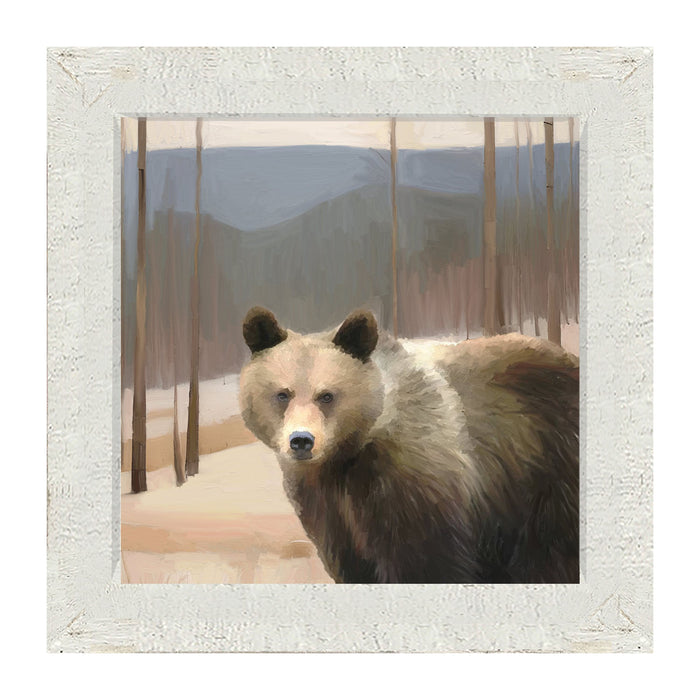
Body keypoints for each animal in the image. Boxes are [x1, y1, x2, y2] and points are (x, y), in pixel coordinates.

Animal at [238, 307, 579, 584]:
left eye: (327, 395)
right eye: (282, 393)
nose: (301, 441)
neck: (348, 456)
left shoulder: (414, 483)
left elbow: (425, 561)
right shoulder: (327, 506)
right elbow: (350, 564)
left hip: (545, 471)